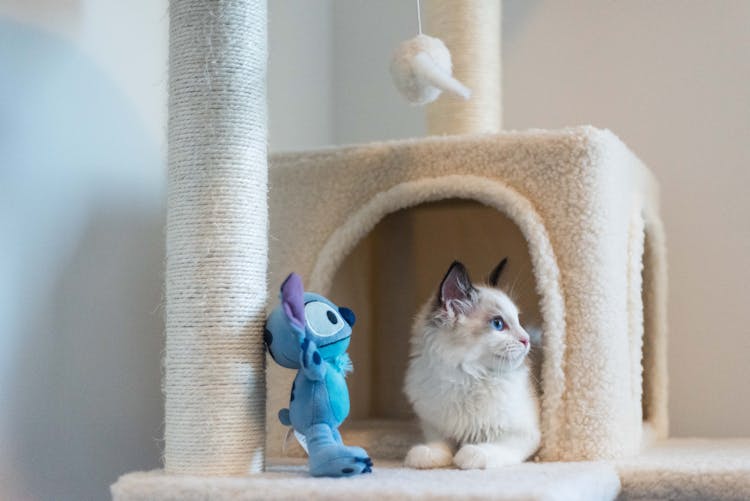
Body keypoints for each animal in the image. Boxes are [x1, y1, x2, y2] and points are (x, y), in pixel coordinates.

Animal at [406, 258, 540, 468]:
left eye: (519, 321)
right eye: (498, 324)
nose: (526, 340)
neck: (468, 377)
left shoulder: (525, 433)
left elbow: (492, 448)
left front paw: (469, 454)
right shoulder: (435, 425)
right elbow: (439, 443)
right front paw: (427, 455)